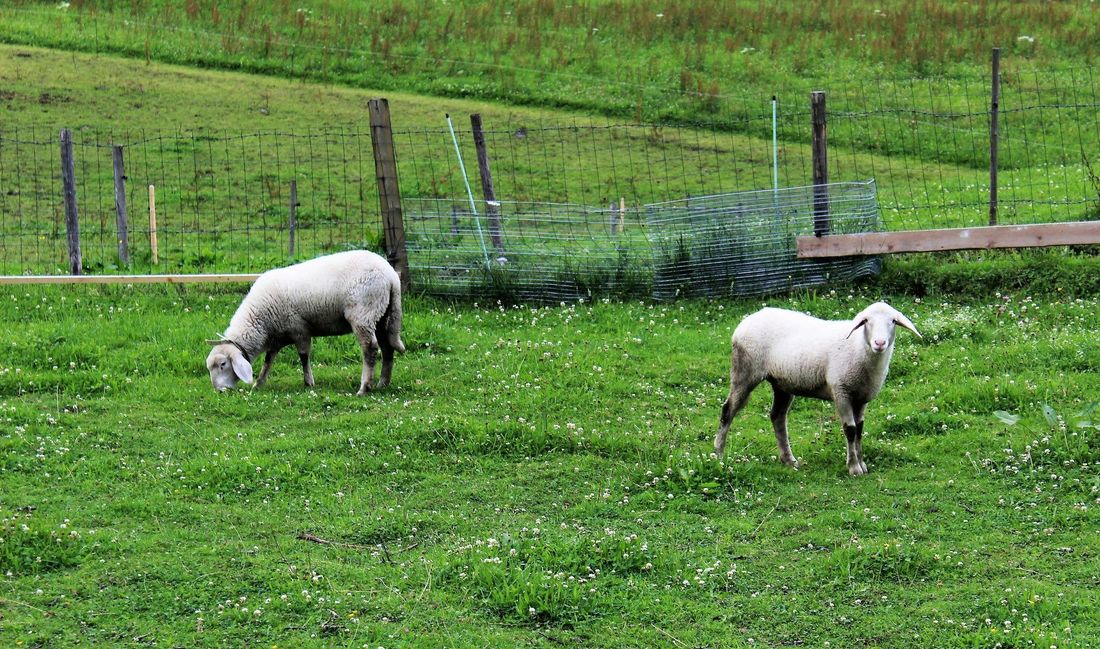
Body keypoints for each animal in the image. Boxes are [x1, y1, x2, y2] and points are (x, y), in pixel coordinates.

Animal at [205, 250, 405, 395]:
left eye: (223, 364)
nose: (219, 391)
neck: (260, 321)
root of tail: (391, 276)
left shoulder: (299, 329)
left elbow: (303, 356)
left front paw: (308, 382)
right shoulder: (277, 337)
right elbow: (268, 360)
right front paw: (259, 383)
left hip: (363, 314)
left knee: (370, 349)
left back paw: (364, 387)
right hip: (382, 315)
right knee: (387, 347)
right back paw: (383, 383)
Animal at [714, 301, 921, 476]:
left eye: (893, 321)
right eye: (866, 321)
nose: (879, 343)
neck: (859, 348)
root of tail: (748, 319)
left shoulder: (862, 398)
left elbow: (860, 429)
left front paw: (862, 463)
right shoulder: (841, 391)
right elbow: (850, 429)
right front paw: (854, 467)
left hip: (782, 383)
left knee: (777, 416)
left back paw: (788, 459)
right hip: (745, 372)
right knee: (728, 410)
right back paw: (718, 454)